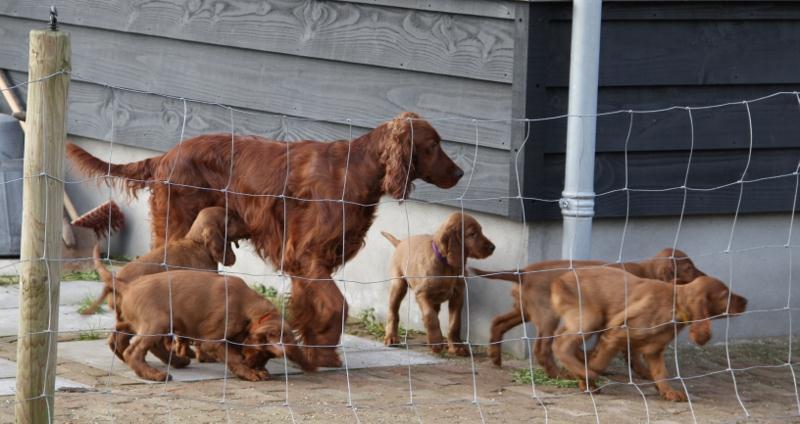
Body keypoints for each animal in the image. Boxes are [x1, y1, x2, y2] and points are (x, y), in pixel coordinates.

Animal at [66, 112, 466, 368]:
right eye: (432, 145)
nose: (461, 172)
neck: (356, 169)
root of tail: (165, 156)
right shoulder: (307, 257)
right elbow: (337, 305)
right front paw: (325, 352)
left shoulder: (308, 264)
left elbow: (313, 307)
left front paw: (311, 347)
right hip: (177, 228)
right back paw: (175, 348)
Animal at [110, 270, 316, 382]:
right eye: (260, 351)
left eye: (267, 357)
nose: (256, 366)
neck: (246, 307)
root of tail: (127, 287)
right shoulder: (214, 340)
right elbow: (234, 357)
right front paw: (250, 373)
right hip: (158, 321)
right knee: (134, 350)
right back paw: (153, 374)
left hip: (144, 321)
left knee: (126, 336)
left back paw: (174, 362)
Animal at [380, 211, 494, 354]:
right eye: (473, 233)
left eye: (481, 231)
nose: (493, 247)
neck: (446, 265)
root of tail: (401, 242)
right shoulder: (421, 293)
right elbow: (430, 316)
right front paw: (436, 342)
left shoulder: (458, 296)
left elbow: (455, 323)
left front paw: (456, 346)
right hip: (398, 285)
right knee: (393, 312)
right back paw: (391, 337)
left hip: (434, 300)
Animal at [472, 248, 704, 374]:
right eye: (689, 268)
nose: (704, 277)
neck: (645, 272)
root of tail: (523, 272)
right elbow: (630, 351)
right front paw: (643, 372)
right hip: (547, 316)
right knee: (542, 349)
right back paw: (559, 375)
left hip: (525, 310)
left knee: (498, 322)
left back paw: (495, 357)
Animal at [552, 268, 744, 400]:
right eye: (726, 295)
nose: (746, 301)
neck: (675, 304)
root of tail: (558, 280)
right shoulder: (615, 335)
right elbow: (599, 363)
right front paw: (588, 383)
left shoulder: (654, 351)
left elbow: (660, 373)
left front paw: (668, 392)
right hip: (590, 318)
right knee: (561, 345)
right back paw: (583, 372)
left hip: (580, 319)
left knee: (559, 337)